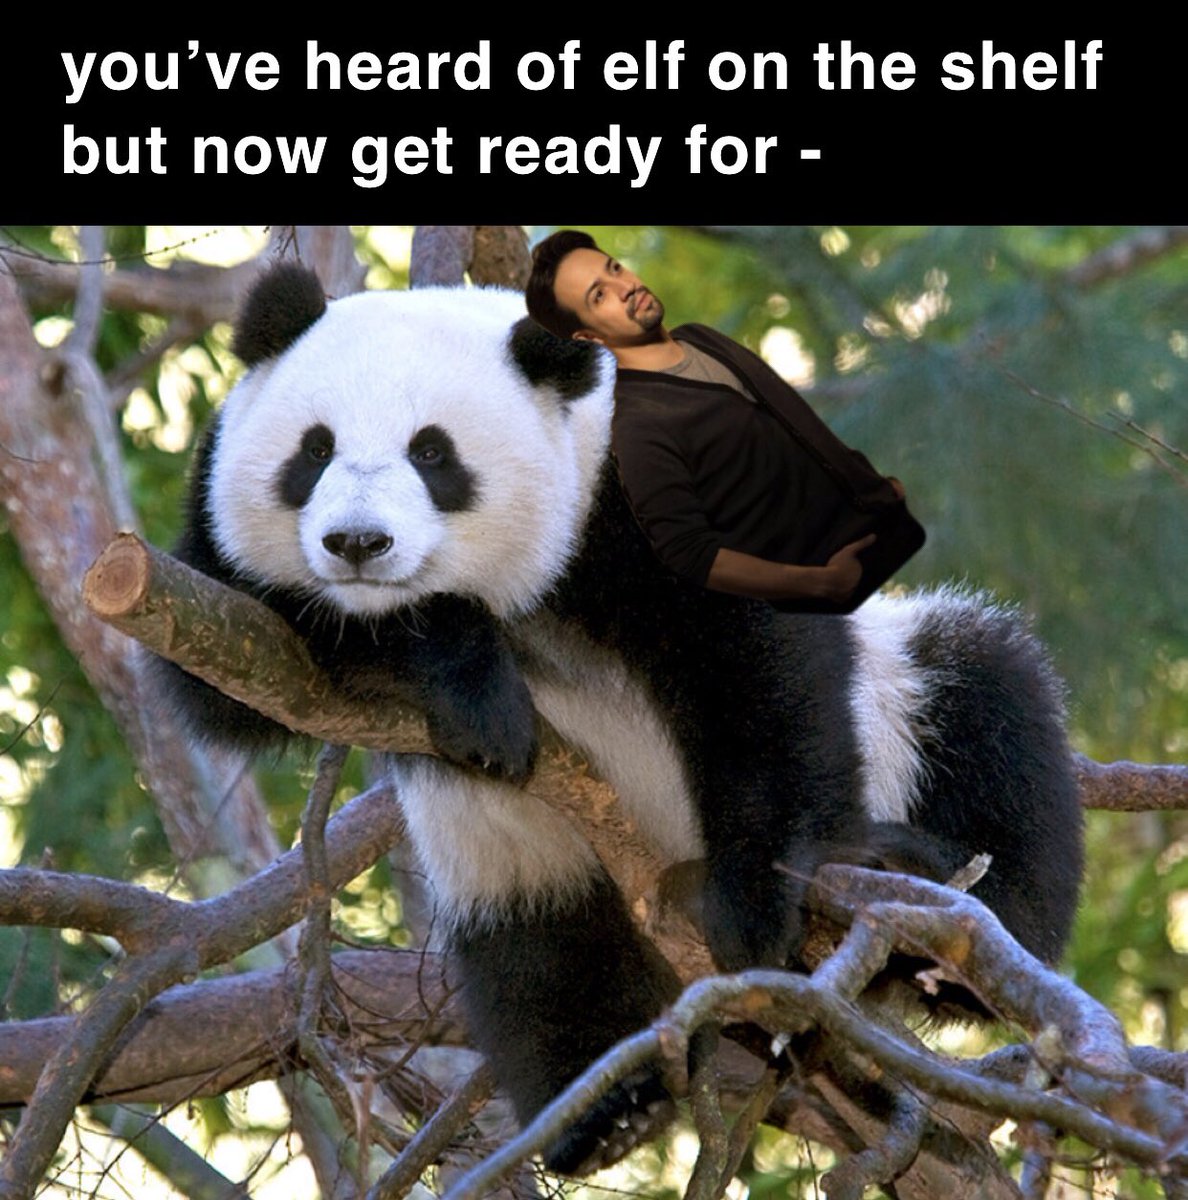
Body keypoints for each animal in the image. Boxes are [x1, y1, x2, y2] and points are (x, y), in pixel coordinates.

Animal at [158, 263, 1084, 1176]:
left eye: (433, 453)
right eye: (312, 450)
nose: (357, 544)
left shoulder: (647, 494)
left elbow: (760, 672)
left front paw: (759, 902)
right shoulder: (222, 579)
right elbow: (226, 667)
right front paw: (474, 689)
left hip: (906, 705)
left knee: (988, 705)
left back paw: (938, 907)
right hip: (529, 863)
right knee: (541, 952)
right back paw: (605, 1109)